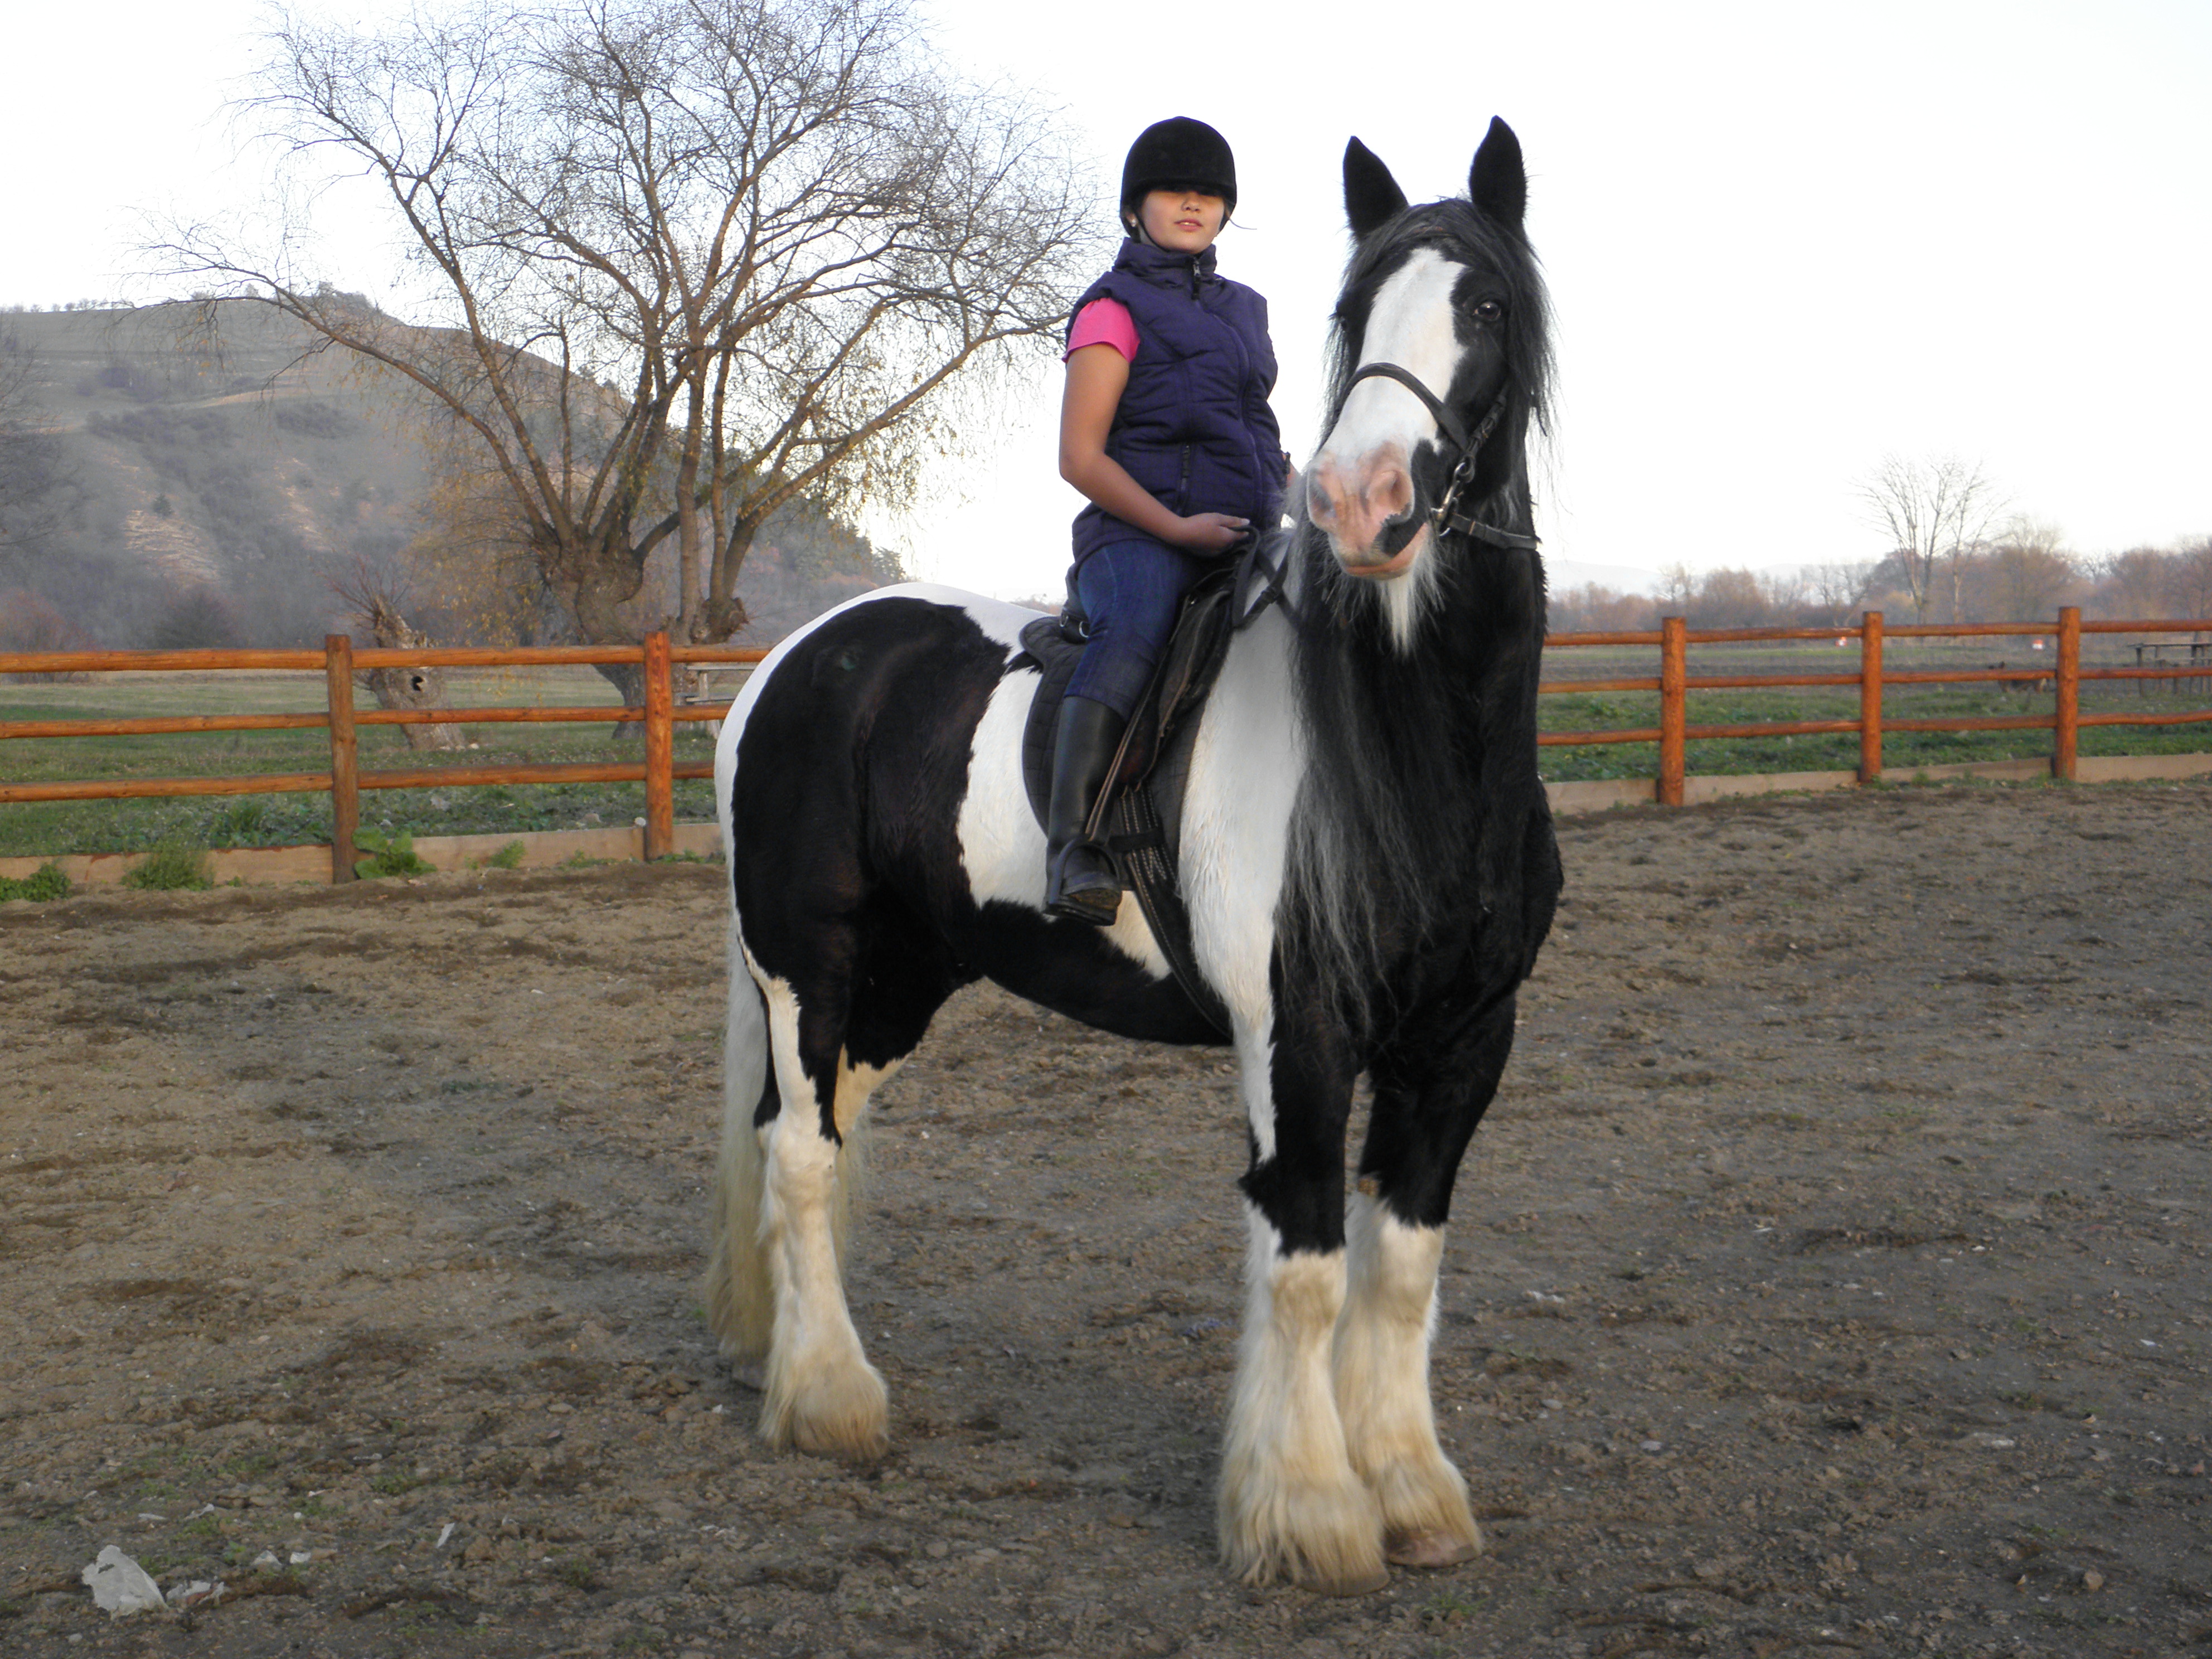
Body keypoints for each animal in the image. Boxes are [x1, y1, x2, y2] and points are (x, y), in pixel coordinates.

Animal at [703, 117, 1557, 1601]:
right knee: (803, 1156)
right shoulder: (1297, 1034)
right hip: (807, 966)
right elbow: (1305, 1261)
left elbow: (1401, 1267)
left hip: (897, 986)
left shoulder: (1462, 1040)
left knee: (801, 1138)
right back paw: (829, 1402)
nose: (1360, 500)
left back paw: (780, 1357)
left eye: (1488, 307)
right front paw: (1307, 1515)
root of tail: (794, 661)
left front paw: (1412, 1495)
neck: (1416, 756)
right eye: (1354, 313)